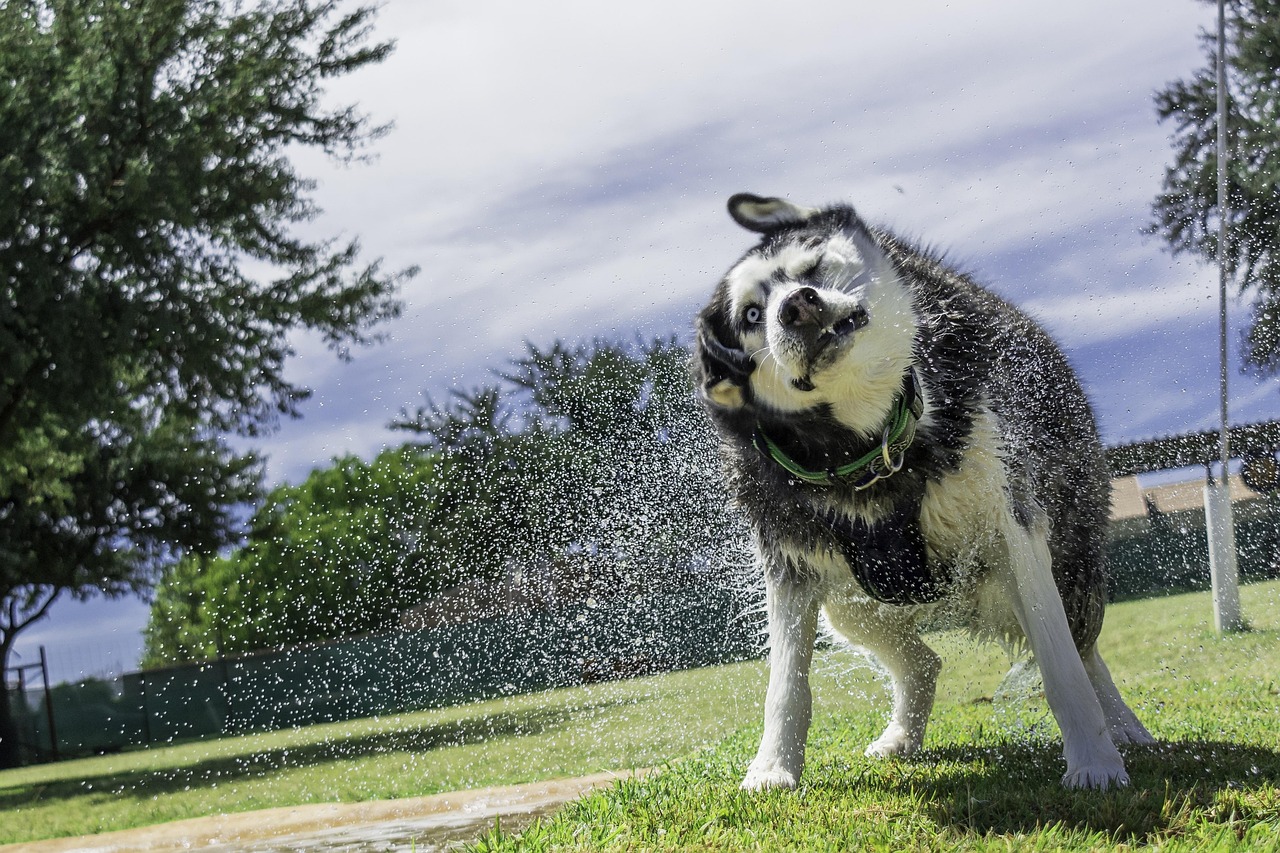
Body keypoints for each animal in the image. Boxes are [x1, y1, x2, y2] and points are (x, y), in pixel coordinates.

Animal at [696, 194, 1157, 788]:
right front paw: (772, 770)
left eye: (811, 267)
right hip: (852, 604)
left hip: (1069, 558)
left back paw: (1124, 728)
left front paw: (1094, 763)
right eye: (751, 315)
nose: (796, 306)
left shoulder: (1011, 527)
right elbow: (787, 685)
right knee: (923, 661)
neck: (870, 453)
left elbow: (1062, 665)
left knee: (1084, 647)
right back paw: (901, 737)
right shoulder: (789, 563)